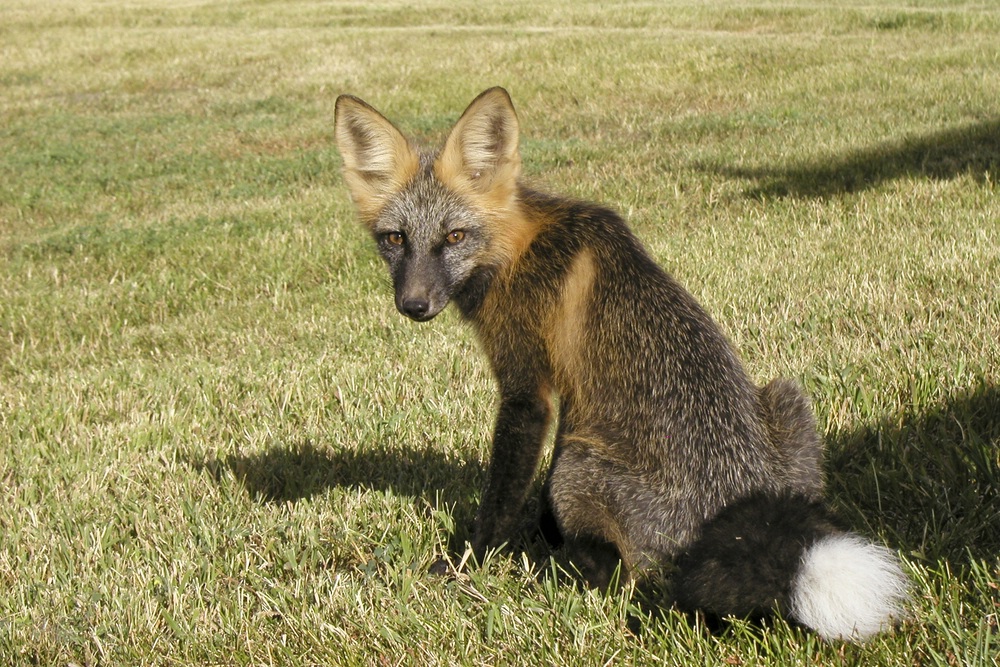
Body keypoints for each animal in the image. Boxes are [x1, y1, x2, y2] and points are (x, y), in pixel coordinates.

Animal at [332, 87, 912, 640]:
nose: (414, 305)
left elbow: (499, 500)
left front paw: (468, 563)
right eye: (395, 239)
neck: (517, 248)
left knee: (623, 575)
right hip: (785, 397)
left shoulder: (527, 391)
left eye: (454, 236)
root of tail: (726, 517)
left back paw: (561, 571)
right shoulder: (575, 396)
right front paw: (540, 532)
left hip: (581, 469)